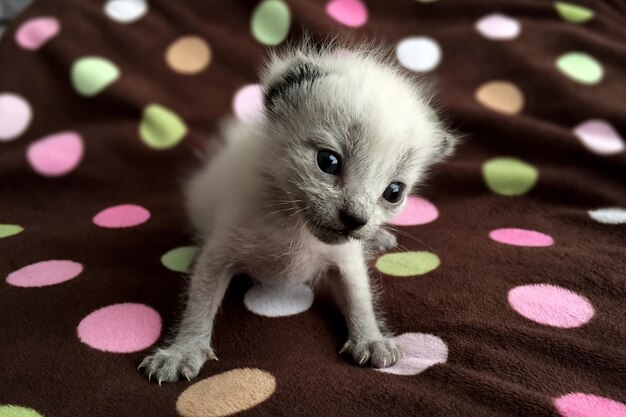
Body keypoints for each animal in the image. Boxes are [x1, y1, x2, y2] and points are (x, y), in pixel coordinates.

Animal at [139, 40, 454, 382]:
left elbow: (359, 296)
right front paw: (182, 351)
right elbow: (200, 301)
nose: (355, 220)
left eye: (394, 192)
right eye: (328, 161)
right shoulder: (221, 250)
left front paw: (371, 338)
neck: (295, 225)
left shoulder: (345, 259)